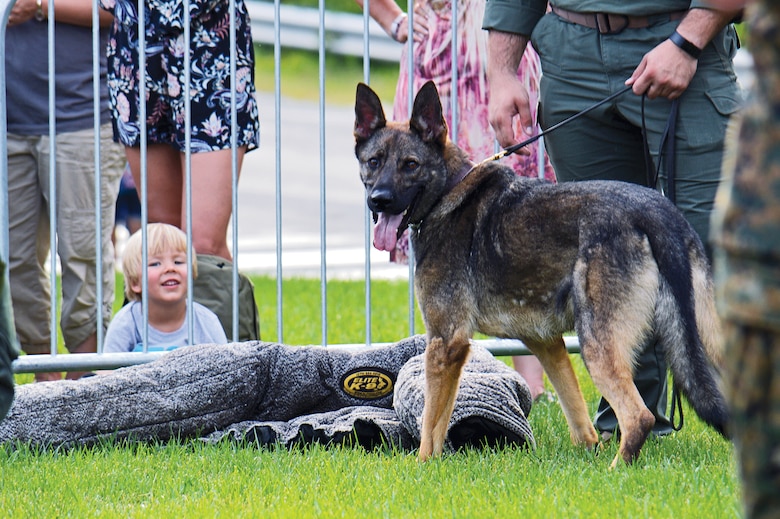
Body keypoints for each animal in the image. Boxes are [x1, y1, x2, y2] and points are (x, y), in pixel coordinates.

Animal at [356, 80, 728, 468]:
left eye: (410, 165)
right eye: (373, 162)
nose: (379, 200)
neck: (449, 190)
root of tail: (657, 211)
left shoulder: (446, 342)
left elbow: (431, 424)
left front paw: (424, 466)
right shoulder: (545, 343)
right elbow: (578, 418)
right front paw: (588, 452)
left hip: (596, 344)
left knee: (639, 416)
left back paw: (616, 470)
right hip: (706, 340)